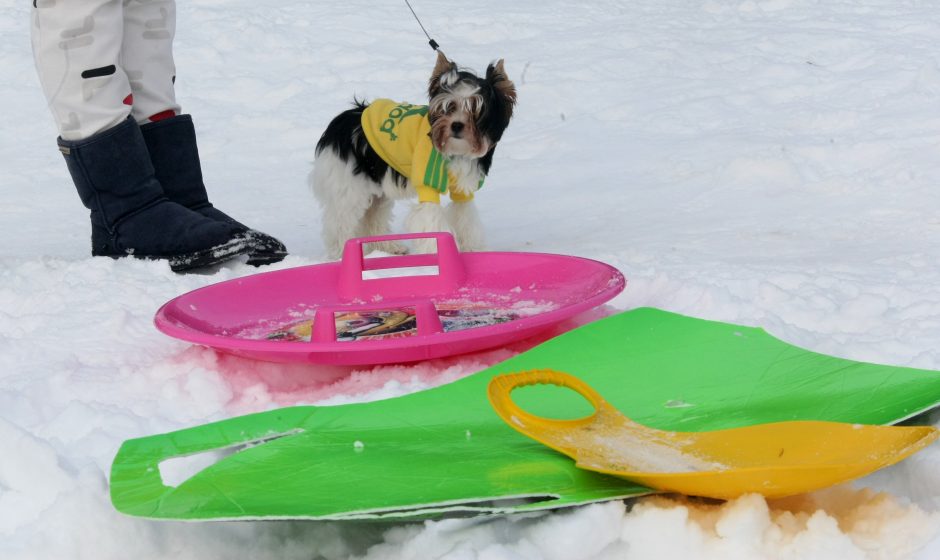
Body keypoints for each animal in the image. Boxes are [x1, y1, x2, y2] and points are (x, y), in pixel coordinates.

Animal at [312, 51, 516, 258]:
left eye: (476, 110)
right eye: (449, 107)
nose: (457, 125)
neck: (456, 151)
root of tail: (339, 122)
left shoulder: (462, 189)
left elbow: (466, 217)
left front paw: (475, 250)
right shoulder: (427, 179)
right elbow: (431, 221)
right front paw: (436, 255)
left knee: (374, 213)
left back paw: (386, 247)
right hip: (348, 182)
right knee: (341, 220)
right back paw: (341, 252)